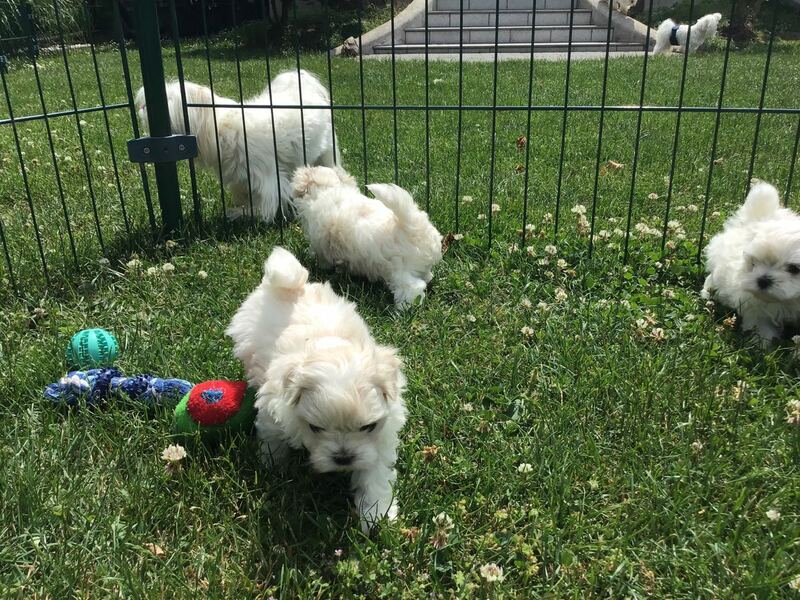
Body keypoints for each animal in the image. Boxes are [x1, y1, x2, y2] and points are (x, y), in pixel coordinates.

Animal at [135, 70, 339, 223]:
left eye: (167, 103)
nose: (142, 107)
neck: (218, 127)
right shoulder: (241, 177)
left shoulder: (266, 176)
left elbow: (265, 205)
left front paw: (242, 214)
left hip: (327, 150)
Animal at [226, 247, 407, 531]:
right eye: (316, 428)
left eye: (368, 427)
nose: (343, 457)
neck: (329, 347)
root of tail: (293, 286)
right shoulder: (274, 411)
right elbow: (273, 440)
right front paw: (273, 466)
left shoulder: (381, 437)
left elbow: (374, 475)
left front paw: (376, 515)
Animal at [291, 166, 443, 309]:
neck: (328, 188)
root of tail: (414, 227)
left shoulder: (321, 243)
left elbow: (323, 259)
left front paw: (323, 268)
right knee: (426, 275)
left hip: (400, 271)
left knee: (412, 287)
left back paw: (404, 308)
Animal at [702, 182, 800, 346]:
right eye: (754, 263)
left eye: (794, 268)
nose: (762, 280)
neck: (790, 301)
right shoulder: (756, 307)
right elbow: (761, 325)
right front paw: (762, 345)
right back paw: (708, 293)